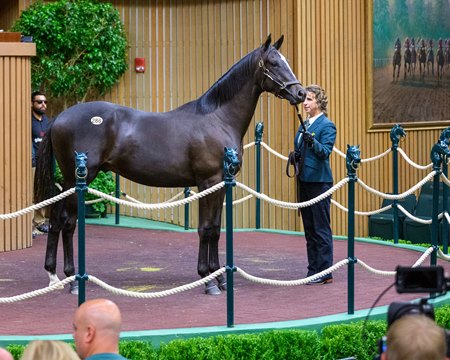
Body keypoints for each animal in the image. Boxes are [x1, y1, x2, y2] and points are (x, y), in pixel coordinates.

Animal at [33, 35, 304, 296]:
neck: (218, 119)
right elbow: (206, 229)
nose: (300, 93)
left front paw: (219, 278)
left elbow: (216, 229)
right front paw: (209, 281)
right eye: (273, 63)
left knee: (56, 220)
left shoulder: (219, 185)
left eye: (286, 61)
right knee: (68, 223)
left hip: (69, 182)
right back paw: (73, 281)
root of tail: (59, 117)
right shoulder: (209, 182)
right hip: (78, 180)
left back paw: (53, 275)